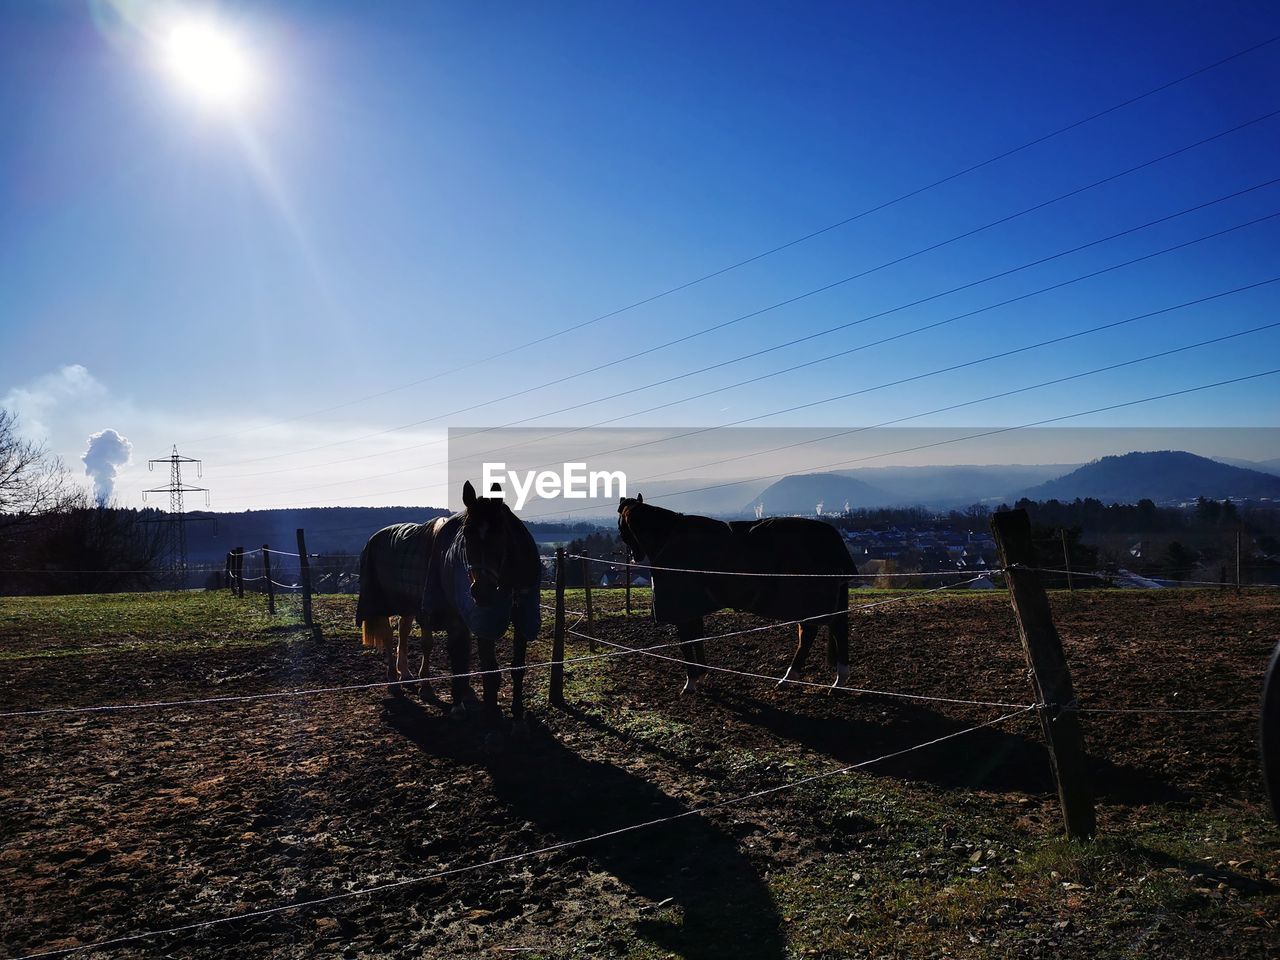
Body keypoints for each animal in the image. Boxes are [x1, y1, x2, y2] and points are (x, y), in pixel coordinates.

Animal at [353, 481, 542, 727]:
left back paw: (407, 675)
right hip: (383, 602)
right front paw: (482, 711)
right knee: (388, 635)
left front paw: (517, 712)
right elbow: (484, 666)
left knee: (403, 631)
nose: (481, 591)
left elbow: (516, 667)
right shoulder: (474, 618)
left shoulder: (520, 616)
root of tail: (375, 537)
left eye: (500, 533)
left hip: (409, 604)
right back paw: (395, 682)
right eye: (466, 535)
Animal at [614, 499, 855, 696]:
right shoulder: (694, 607)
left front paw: (690, 682)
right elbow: (697, 639)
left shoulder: (684, 609)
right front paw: (701, 675)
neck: (669, 537)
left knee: (817, 632)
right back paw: (823, 679)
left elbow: (687, 643)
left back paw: (814, 678)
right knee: (825, 631)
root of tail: (831, 536)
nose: (634, 557)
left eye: (620, 525)